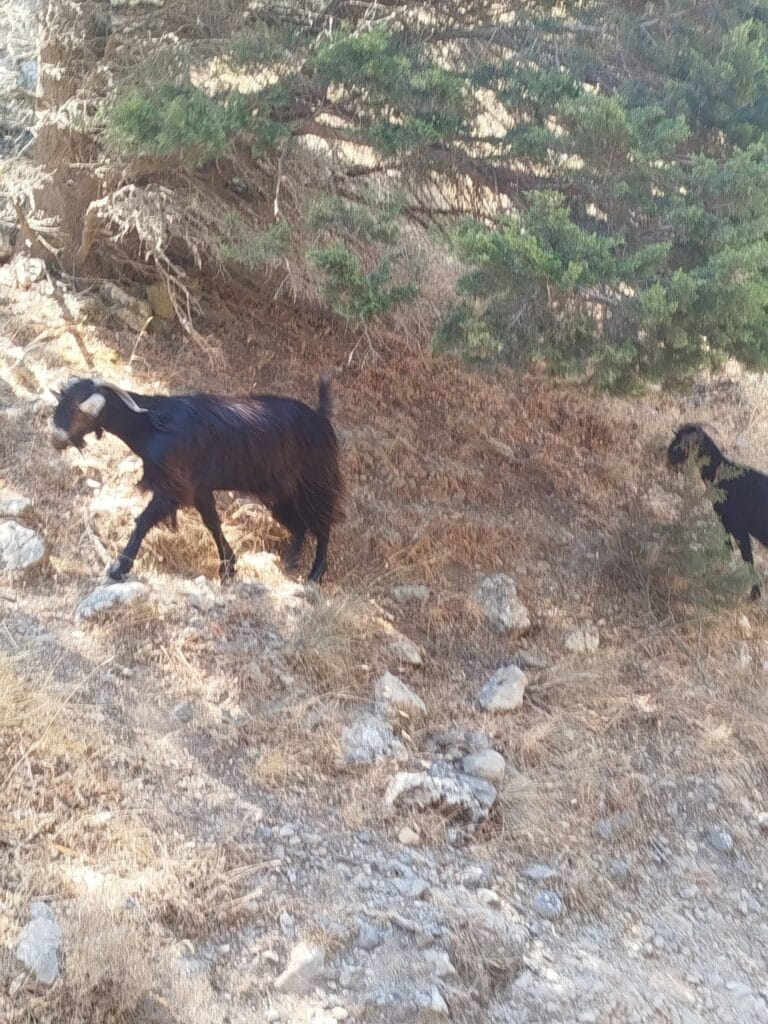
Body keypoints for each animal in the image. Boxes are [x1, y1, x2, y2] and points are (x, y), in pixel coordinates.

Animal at [51, 376, 344, 584]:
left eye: (78, 408)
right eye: (60, 402)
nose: (56, 438)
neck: (152, 423)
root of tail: (321, 417)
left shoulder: (173, 487)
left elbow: (143, 521)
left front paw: (119, 568)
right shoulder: (200, 488)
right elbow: (212, 522)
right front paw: (228, 567)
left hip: (315, 484)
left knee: (322, 523)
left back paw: (315, 575)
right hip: (281, 494)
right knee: (299, 524)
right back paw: (291, 561)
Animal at [667, 423, 768, 600]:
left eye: (684, 443)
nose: (668, 455)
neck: (719, 471)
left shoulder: (739, 528)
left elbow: (747, 559)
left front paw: (754, 594)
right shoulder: (725, 522)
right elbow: (727, 549)